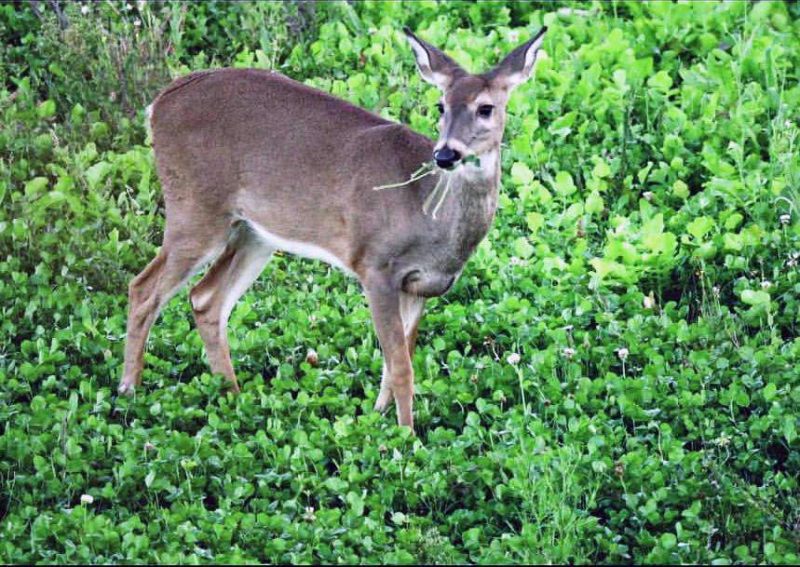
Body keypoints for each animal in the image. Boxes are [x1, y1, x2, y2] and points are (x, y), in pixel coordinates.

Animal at [117, 25, 544, 430]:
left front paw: (379, 418)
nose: (445, 154)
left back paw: (233, 398)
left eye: (486, 108)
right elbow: (401, 366)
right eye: (441, 104)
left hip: (254, 232)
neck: (432, 218)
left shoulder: (420, 285)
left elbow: (397, 360)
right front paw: (407, 438)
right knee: (143, 288)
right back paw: (129, 392)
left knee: (205, 298)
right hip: (196, 209)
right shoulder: (376, 265)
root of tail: (158, 104)